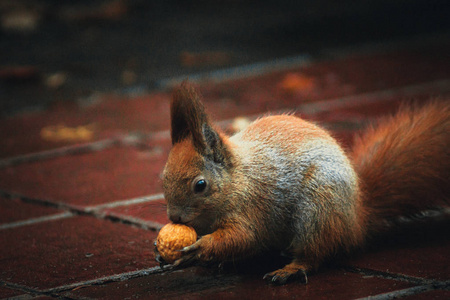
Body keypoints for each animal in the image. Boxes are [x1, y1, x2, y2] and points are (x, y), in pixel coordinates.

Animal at [156, 83, 450, 284]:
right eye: (163, 178)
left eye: (200, 185)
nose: (175, 217)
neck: (236, 180)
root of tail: (357, 218)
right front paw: (163, 253)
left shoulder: (250, 208)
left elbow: (242, 237)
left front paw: (199, 249)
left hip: (319, 210)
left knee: (316, 252)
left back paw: (291, 269)